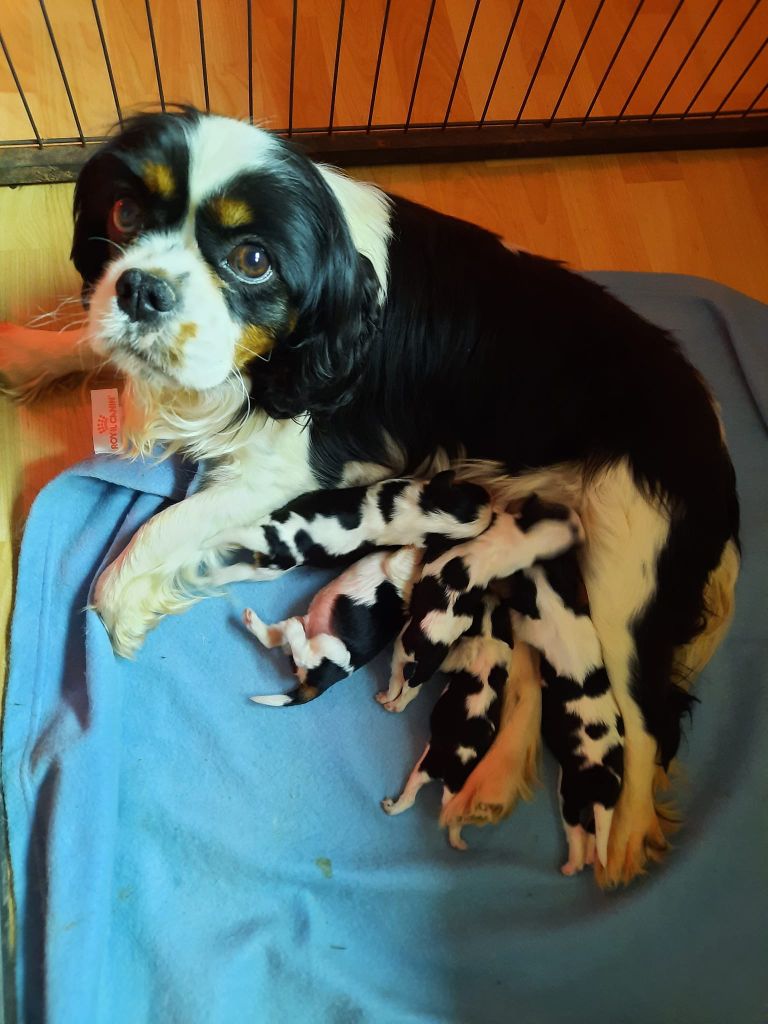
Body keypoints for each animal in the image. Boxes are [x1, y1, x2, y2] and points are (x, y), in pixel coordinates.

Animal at [3, 110, 741, 880]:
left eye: (253, 260)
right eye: (124, 213)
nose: (144, 289)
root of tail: (713, 441)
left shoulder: (288, 471)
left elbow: (153, 538)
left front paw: (118, 609)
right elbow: (90, 333)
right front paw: (25, 351)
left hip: (627, 571)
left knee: (649, 720)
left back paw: (623, 842)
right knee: (537, 674)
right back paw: (489, 784)